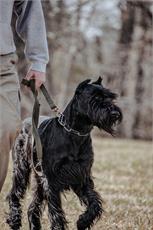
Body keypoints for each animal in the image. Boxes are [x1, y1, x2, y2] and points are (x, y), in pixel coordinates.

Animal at [6, 77, 122, 230]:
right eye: (95, 98)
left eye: (110, 97)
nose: (115, 113)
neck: (75, 133)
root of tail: (25, 121)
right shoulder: (51, 180)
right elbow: (56, 211)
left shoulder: (82, 176)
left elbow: (94, 203)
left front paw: (83, 221)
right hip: (21, 168)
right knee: (14, 193)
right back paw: (14, 219)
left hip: (39, 178)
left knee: (33, 205)